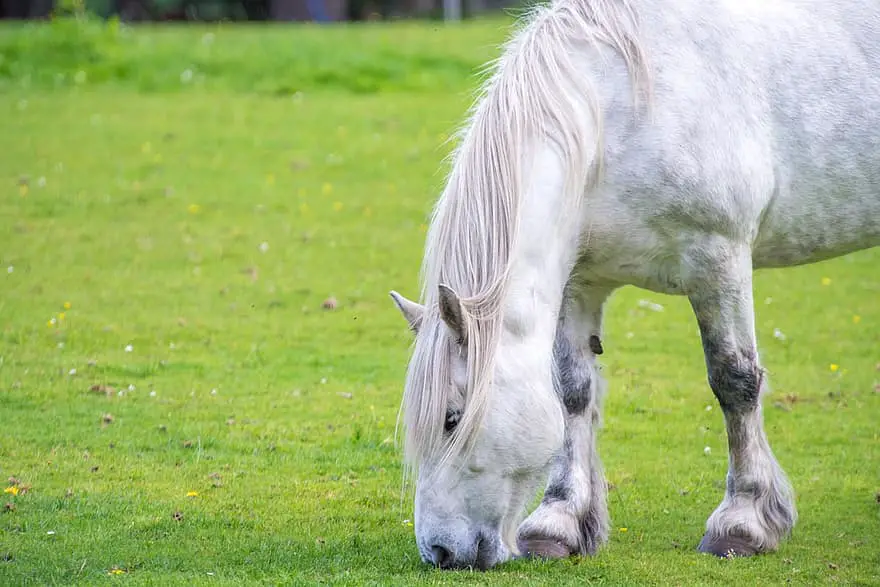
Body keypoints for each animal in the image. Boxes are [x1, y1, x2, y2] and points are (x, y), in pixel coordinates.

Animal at [388, 0, 880, 572]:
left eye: (451, 418)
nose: (440, 551)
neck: (618, 115)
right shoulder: (579, 281)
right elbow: (572, 392)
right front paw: (560, 523)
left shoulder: (719, 259)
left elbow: (734, 381)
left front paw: (744, 521)